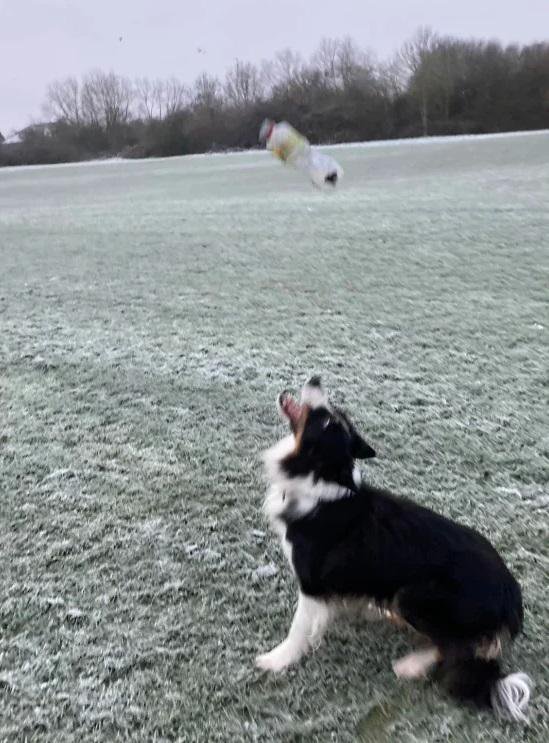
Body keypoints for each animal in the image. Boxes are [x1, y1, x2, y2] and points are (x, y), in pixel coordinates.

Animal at [256, 378, 532, 720]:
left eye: (328, 419)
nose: (316, 379)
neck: (318, 477)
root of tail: (512, 595)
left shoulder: (311, 581)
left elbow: (298, 629)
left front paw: (276, 660)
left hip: (414, 595)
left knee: (454, 646)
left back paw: (410, 665)